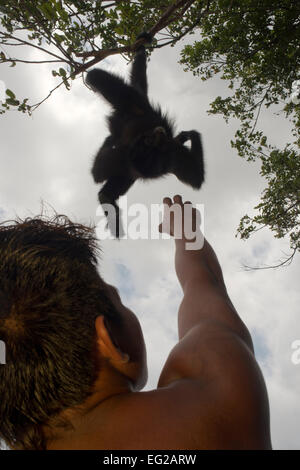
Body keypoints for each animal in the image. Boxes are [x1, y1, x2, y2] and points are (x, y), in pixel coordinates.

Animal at [85, 31, 205, 237]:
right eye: (148, 142)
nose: (156, 135)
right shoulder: (164, 156)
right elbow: (196, 177)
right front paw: (189, 134)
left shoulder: (152, 157)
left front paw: (186, 135)